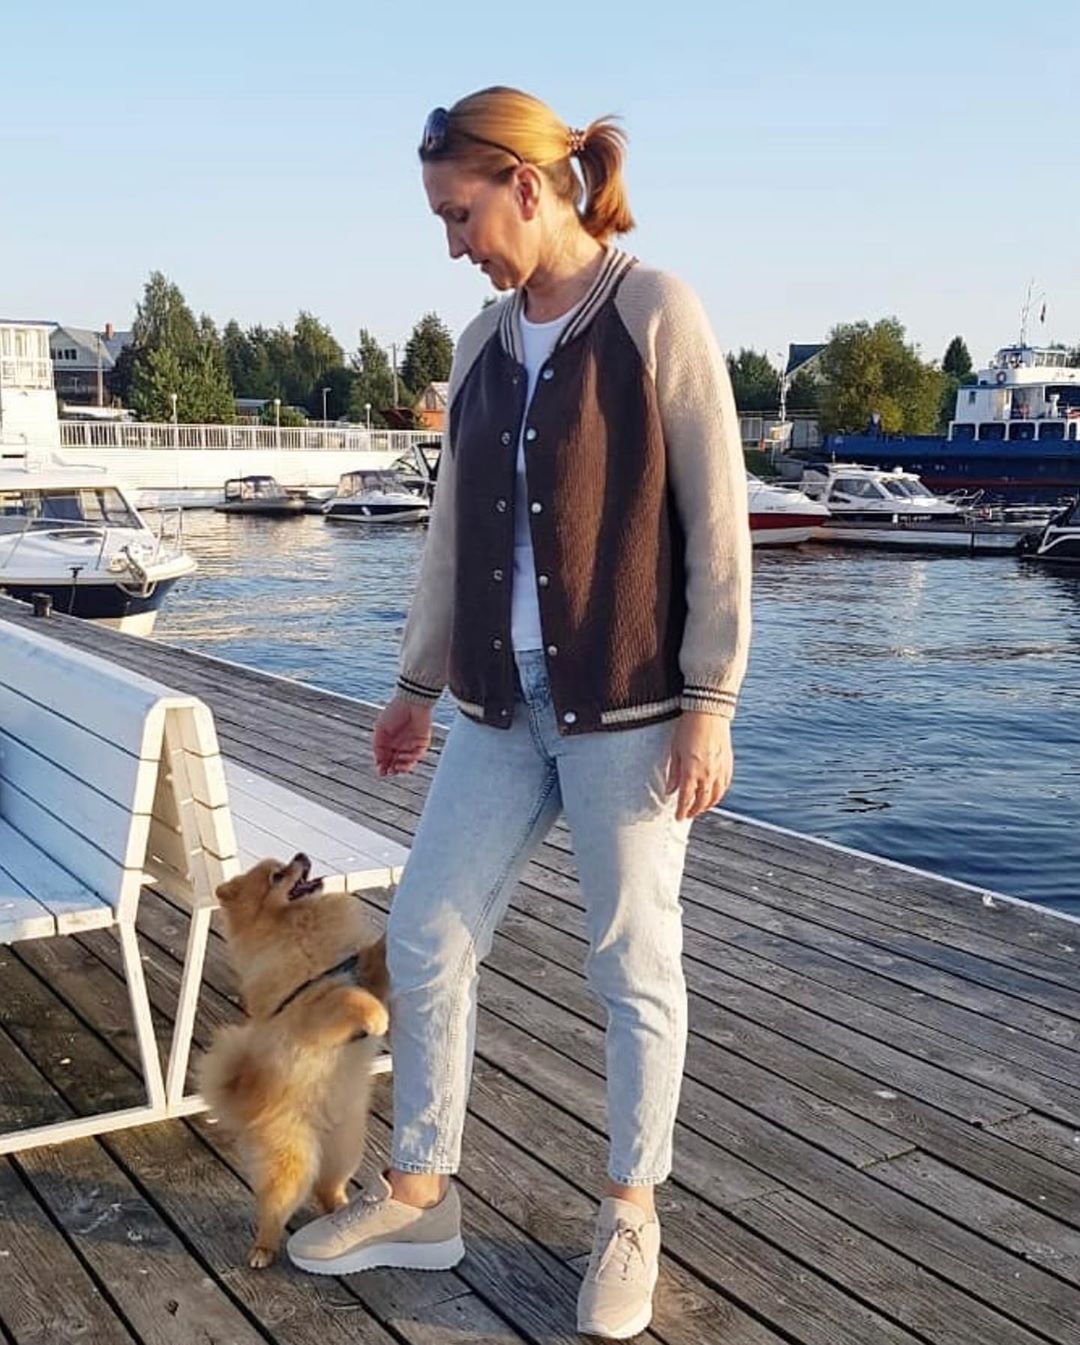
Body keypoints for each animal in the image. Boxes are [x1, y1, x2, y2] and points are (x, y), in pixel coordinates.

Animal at [199, 853, 389, 1268]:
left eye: (284, 864)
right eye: (277, 876)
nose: (302, 856)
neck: (298, 926)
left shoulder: (358, 968)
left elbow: (374, 959)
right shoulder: (312, 1010)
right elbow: (349, 998)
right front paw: (376, 1018)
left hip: (345, 1149)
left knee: (327, 1189)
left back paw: (341, 1210)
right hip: (291, 1165)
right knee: (275, 1210)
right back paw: (262, 1250)